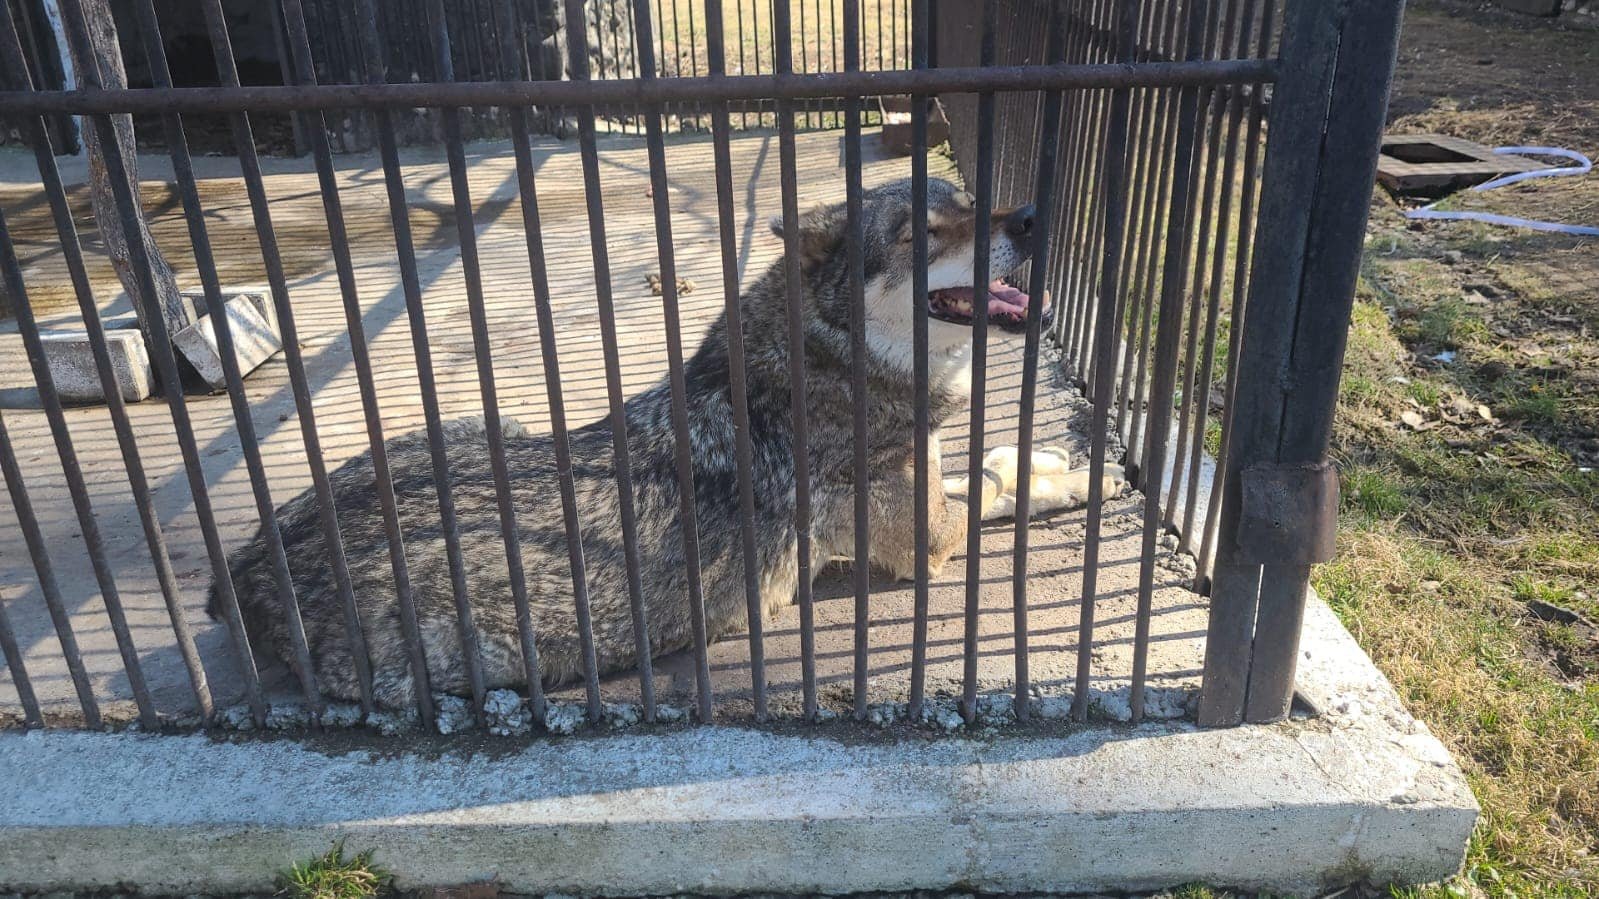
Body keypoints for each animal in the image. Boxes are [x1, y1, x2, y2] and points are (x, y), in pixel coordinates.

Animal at [212, 176, 1125, 707]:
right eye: (919, 234)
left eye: (971, 201)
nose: (1032, 216)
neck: (837, 358)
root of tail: (245, 565)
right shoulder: (926, 542)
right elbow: (993, 490)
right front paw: (1078, 479)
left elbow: (989, 464)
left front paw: (1057, 461)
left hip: (480, 425)